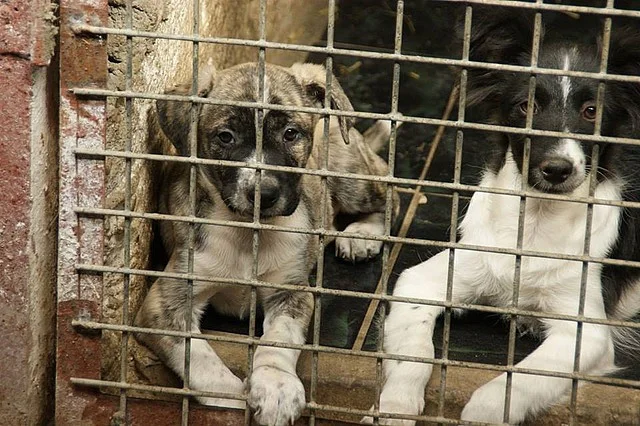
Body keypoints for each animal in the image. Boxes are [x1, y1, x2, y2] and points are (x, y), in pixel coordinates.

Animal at [136, 61, 396, 426]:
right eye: (225, 137)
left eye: (290, 133)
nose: (265, 194)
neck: (249, 235)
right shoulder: (163, 304)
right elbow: (196, 354)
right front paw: (231, 395)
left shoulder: (292, 292)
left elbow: (278, 341)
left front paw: (275, 388)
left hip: (350, 175)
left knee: (390, 194)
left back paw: (361, 235)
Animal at [368, 8, 640, 424]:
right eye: (526, 106)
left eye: (591, 111)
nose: (557, 169)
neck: (536, 221)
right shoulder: (422, 280)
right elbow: (412, 353)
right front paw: (395, 404)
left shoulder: (585, 331)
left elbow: (518, 379)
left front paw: (483, 411)